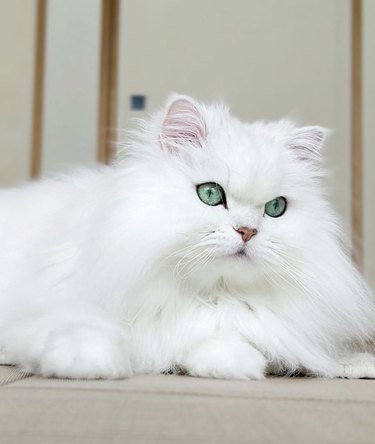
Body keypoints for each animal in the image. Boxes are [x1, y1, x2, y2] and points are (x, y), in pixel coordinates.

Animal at [0, 95, 375, 380]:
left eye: (275, 208)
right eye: (210, 194)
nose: (247, 231)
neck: (206, 294)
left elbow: (220, 343)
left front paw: (236, 365)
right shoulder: (57, 307)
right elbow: (83, 329)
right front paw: (89, 365)